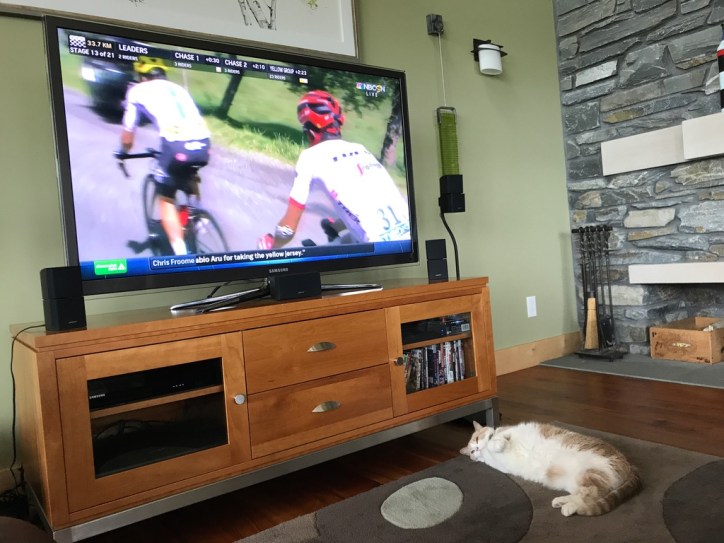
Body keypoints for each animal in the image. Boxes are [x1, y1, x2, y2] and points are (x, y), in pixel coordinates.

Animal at [460, 420, 641, 516]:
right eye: (471, 452)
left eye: (477, 438)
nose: (476, 449)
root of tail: (630, 464)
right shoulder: (502, 465)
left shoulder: (507, 433)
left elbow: (496, 440)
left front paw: (494, 443)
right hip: (577, 479)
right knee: (586, 494)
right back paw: (562, 502)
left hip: (591, 472)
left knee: (592, 494)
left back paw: (569, 507)